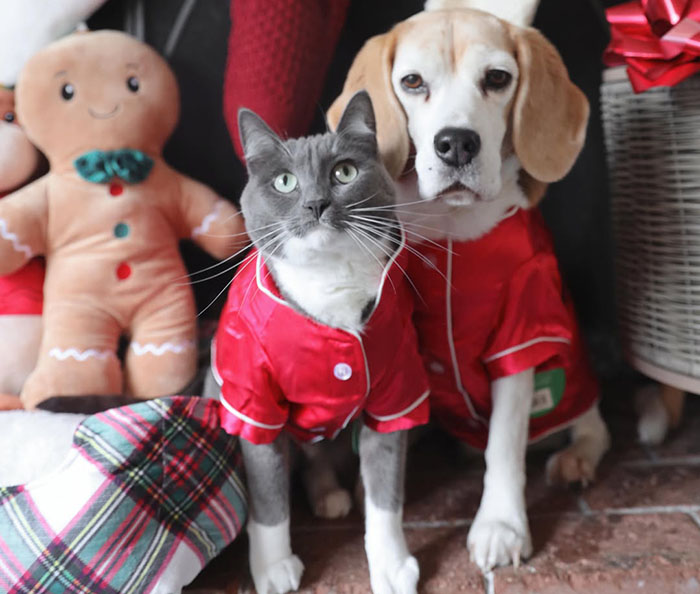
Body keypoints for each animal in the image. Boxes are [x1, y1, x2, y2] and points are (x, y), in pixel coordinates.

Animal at [208, 91, 424, 592]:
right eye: (285, 182)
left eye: (344, 172)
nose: (315, 204)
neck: (330, 285)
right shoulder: (252, 397)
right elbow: (267, 492)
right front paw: (273, 569)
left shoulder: (397, 385)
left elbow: (387, 487)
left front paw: (391, 566)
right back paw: (328, 495)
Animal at [328, 4, 608, 572]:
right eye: (412, 82)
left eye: (497, 78)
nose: (456, 142)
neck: (452, 232)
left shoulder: (521, 331)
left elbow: (504, 442)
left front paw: (500, 524)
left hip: (572, 376)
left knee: (593, 427)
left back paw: (575, 458)